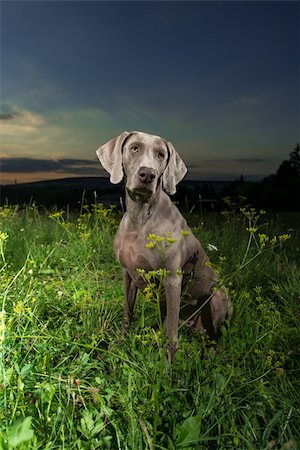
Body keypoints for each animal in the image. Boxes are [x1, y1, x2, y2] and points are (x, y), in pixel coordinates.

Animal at [96, 131, 232, 362]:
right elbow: (127, 312)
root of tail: (194, 325)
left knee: (212, 338)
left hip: (218, 297)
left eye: (161, 155)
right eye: (134, 148)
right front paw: (119, 344)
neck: (141, 218)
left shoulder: (172, 279)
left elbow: (171, 333)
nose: (147, 174)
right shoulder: (127, 274)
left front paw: (168, 365)